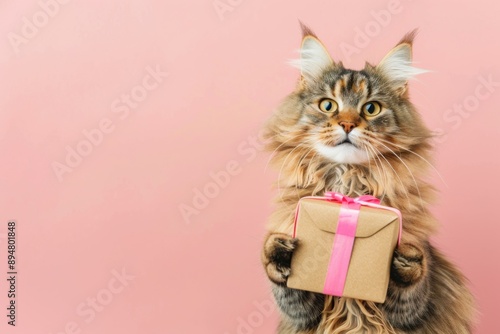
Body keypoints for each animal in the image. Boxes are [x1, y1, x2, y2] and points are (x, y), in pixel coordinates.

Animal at [262, 24, 476, 334]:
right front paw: (277, 252)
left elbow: (412, 287)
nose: (348, 124)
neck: (349, 185)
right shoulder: (302, 315)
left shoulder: (414, 313)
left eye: (371, 108)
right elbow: (288, 290)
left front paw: (407, 260)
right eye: (328, 106)